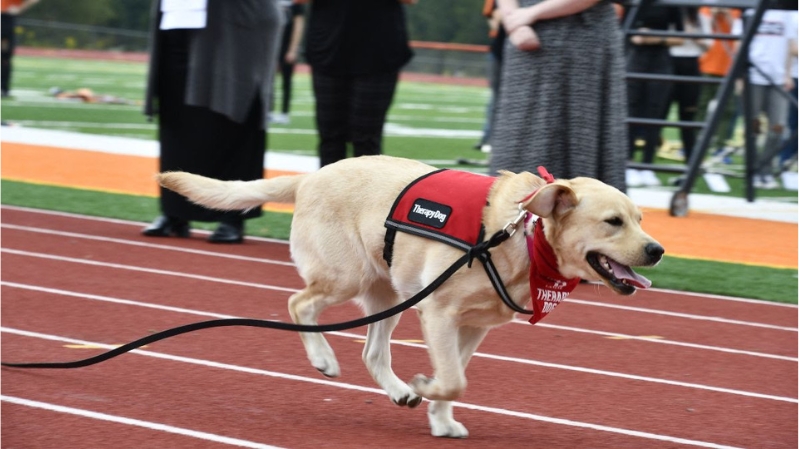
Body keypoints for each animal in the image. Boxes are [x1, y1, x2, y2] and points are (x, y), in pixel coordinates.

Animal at [156, 155, 664, 438]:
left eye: (641, 219)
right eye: (613, 222)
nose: (657, 250)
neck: (524, 235)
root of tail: (311, 176)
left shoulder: (472, 325)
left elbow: (456, 376)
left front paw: (438, 418)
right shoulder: (438, 312)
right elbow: (453, 379)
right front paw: (426, 387)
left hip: (387, 295)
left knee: (372, 353)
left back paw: (399, 391)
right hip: (347, 278)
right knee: (299, 304)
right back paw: (323, 359)